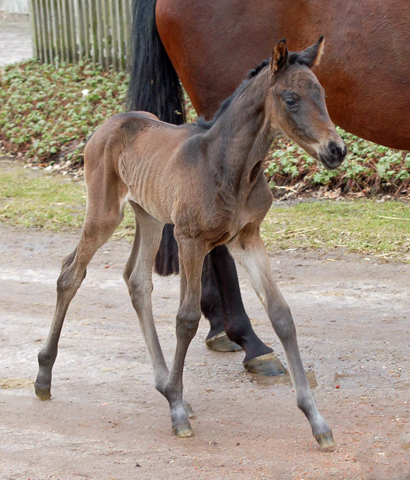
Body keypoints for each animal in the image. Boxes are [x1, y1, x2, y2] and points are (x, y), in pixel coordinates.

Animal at [34, 39, 346, 448]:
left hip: (149, 216)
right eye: (290, 99)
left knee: (136, 280)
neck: (230, 167)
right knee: (71, 272)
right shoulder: (190, 240)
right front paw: (177, 413)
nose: (336, 150)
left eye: (322, 94)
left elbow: (281, 315)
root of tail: (110, 122)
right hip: (105, 213)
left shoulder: (247, 238)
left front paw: (317, 421)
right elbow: (187, 319)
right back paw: (44, 377)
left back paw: (165, 385)